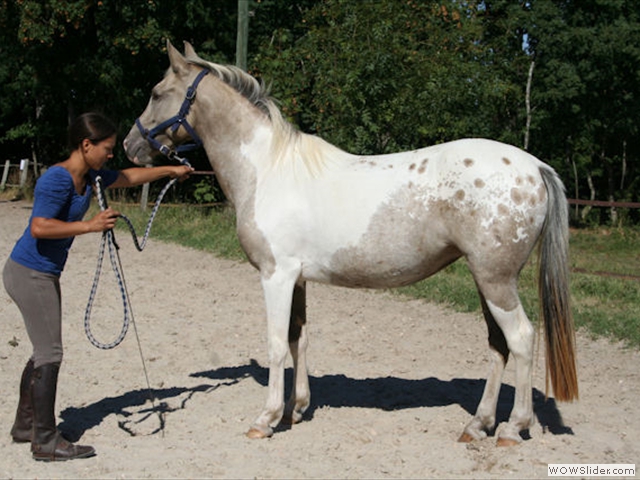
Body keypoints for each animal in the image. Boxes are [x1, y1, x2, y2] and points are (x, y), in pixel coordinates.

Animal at [122, 41, 576, 446]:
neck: (268, 170)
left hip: (495, 279)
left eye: (157, 93)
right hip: (487, 280)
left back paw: (513, 428)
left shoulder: (276, 276)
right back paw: (477, 425)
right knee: (499, 346)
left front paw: (266, 418)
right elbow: (298, 338)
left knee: (521, 340)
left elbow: (275, 344)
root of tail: (535, 166)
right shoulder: (297, 280)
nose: (129, 146)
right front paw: (296, 409)